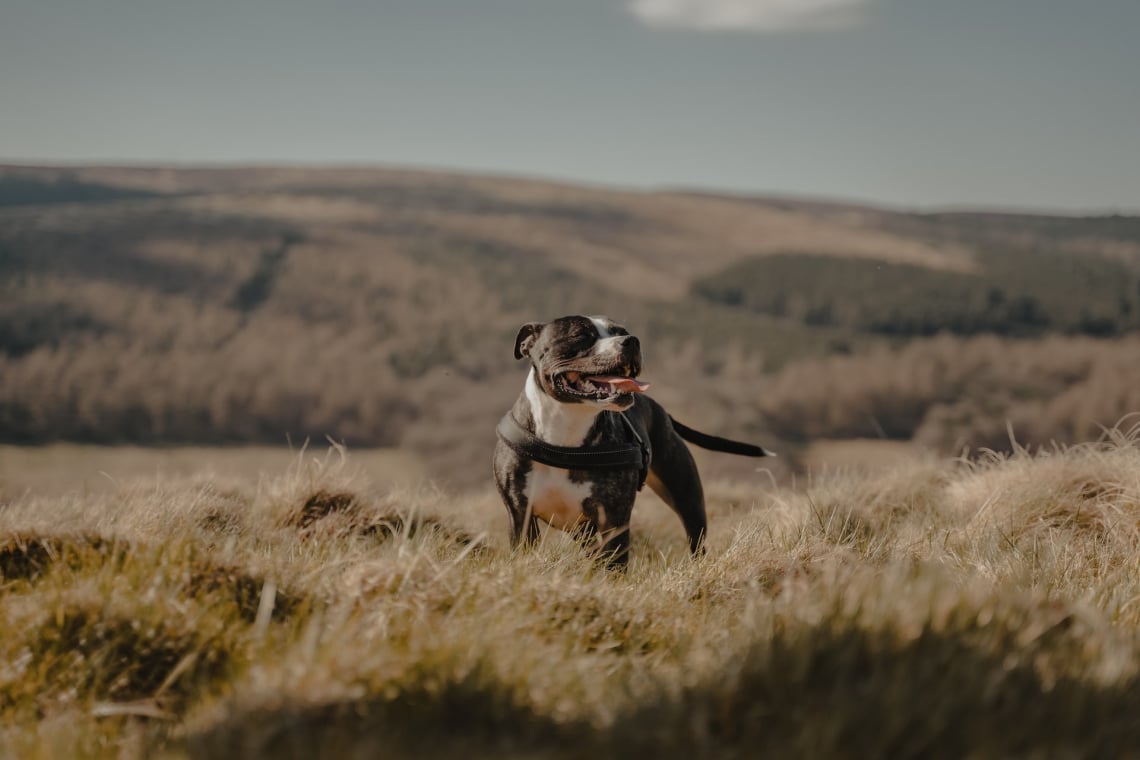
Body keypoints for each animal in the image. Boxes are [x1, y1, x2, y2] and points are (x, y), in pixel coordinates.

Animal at [492, 312, 775, 567]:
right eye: (580, 335)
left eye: (621, 331)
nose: (631, 341)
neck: (565, 432)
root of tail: (662, 411)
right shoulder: (520, 515)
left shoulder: (614, 518)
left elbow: (614, 565)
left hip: (687, 495)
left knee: (696, 539)